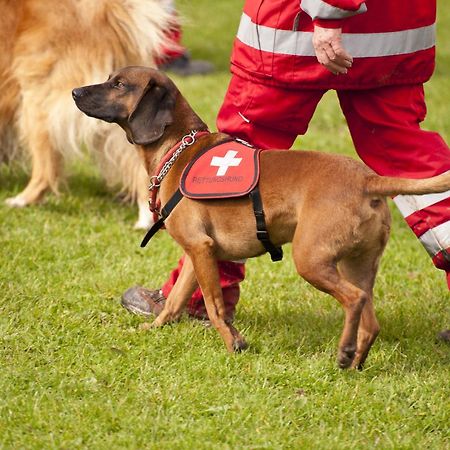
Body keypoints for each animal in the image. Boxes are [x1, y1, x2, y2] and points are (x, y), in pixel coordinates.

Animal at [72, 67, 450, 370]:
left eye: (119, 84)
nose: (75, 91)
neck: (179, 149)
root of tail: (367, 179)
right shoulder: (198, 255)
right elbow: (176, 301)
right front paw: (155, 327)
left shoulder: (200, 249)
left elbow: (215, 307)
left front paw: (232, 344)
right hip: (355, 265)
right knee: (370, 322)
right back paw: (355, 360)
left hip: (312, 261)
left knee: (353, 300)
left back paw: (344, 351)